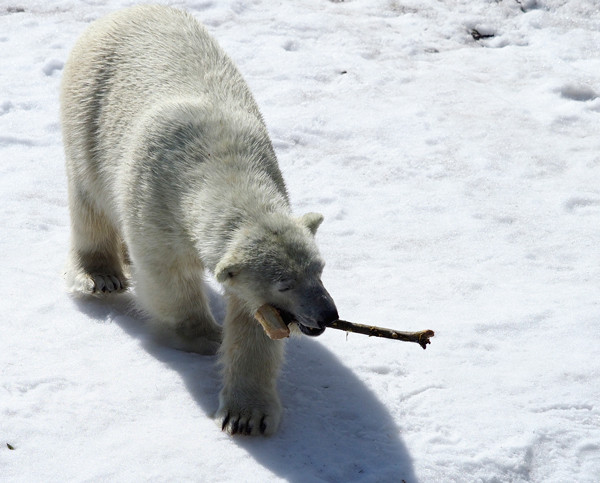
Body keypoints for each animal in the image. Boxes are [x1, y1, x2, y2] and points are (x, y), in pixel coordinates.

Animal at [63, 4, 340, 434]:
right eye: (285, 283)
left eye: (320, 269)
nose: (328, 314)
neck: (223, 166)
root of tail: (123, 12)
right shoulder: (156, 200)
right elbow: (168, 276)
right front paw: (206, 337)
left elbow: (253, 321)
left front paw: (246, 415)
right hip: (88, 113)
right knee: (89, 200)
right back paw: (102, 275)